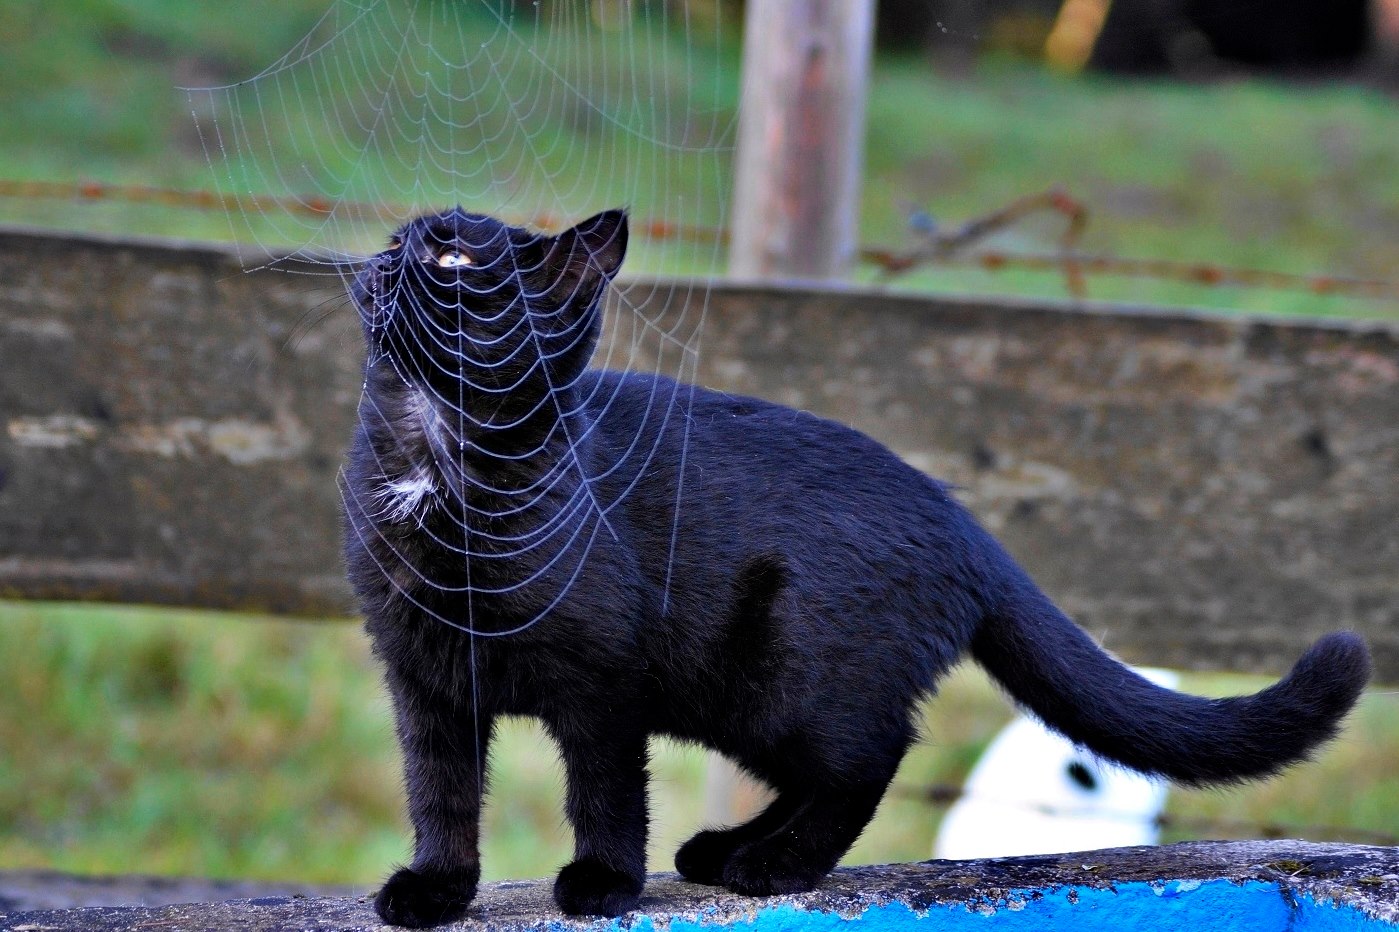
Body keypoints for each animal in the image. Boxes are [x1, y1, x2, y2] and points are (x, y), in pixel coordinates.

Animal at [338, 207, 1365, 923]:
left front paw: (600, 883)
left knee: (868, 758)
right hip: (742, 698)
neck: (437, 454)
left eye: (455, 261)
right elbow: (439, 790)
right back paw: (725, 851)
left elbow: (604, 789)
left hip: (785, 676)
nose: (390, 253)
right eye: (401, 238)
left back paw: (774, 866)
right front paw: (435, 890)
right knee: (823, 771)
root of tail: (964, 525)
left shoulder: (602, 685)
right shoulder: (421, 676)